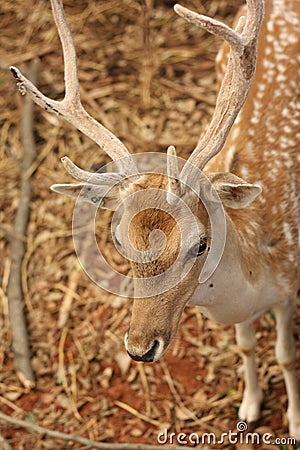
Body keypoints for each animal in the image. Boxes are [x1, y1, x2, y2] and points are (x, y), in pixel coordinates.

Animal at [9, 0, 300, 442]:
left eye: (201, 243)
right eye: (118, 240)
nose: (139, 349)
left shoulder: (289, 288)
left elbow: (286, 356)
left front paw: (295, 423)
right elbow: (246, 346)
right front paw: (248, 408)